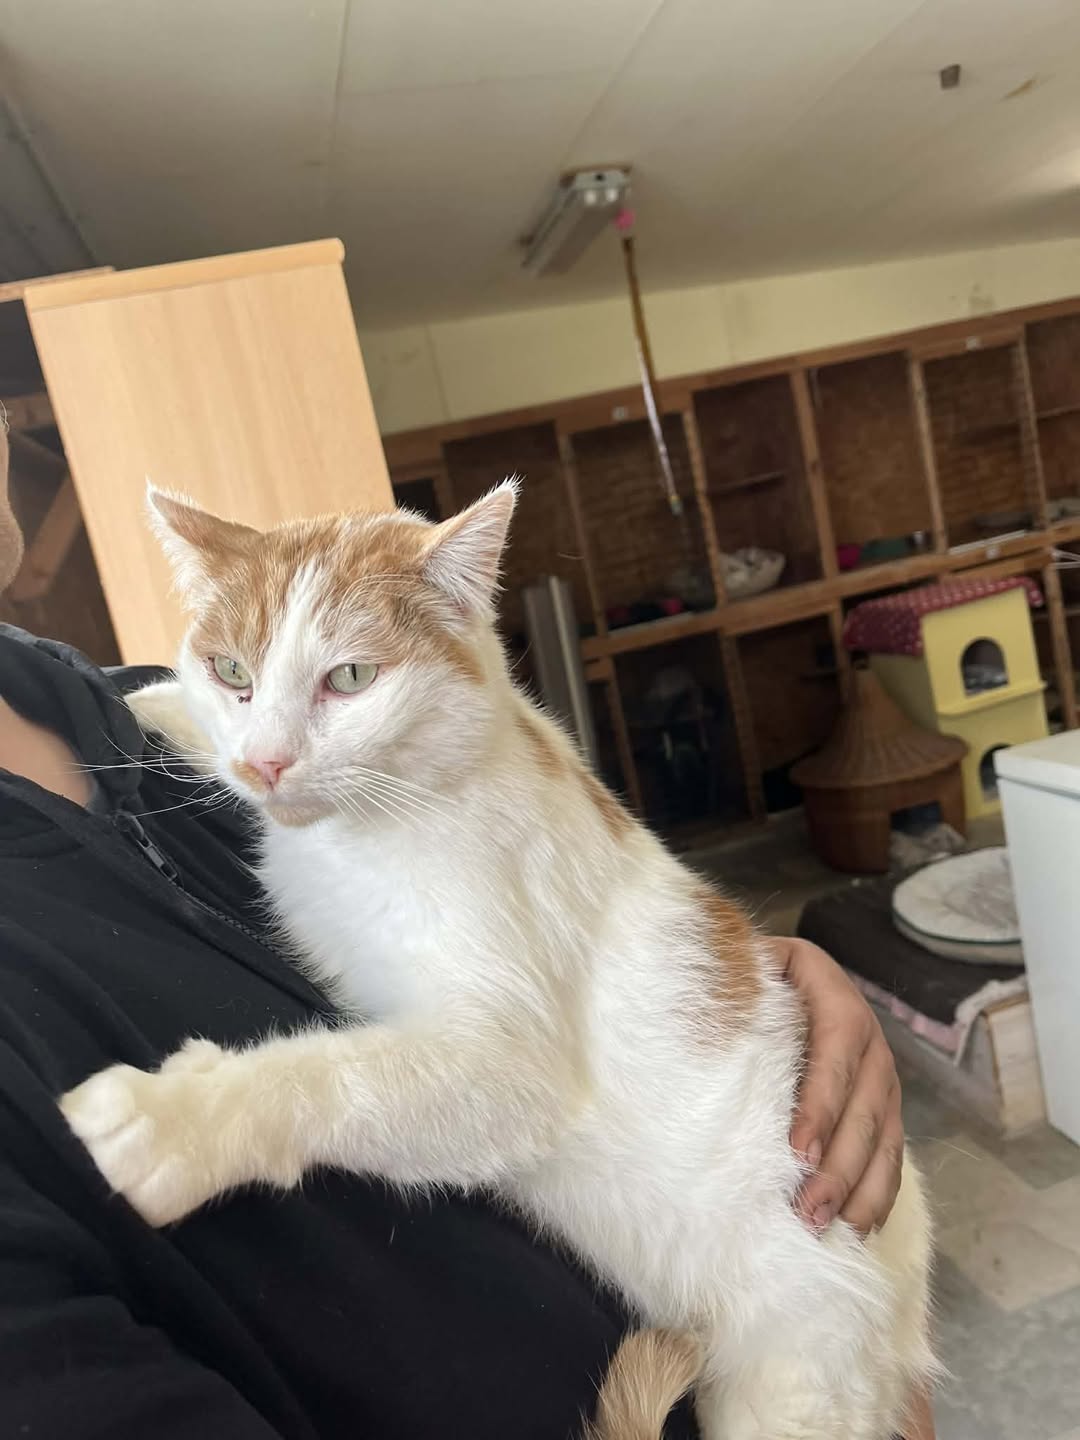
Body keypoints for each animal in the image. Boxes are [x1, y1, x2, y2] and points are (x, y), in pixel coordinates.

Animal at [61, 481, 934, 1439]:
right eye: (231, 673)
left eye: (351, 678)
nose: (265, 762)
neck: (378, 819)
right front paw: (150, 704)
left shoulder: (513, 1063)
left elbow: (334, 1073)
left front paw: (176, 1120)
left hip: (799, 1371)